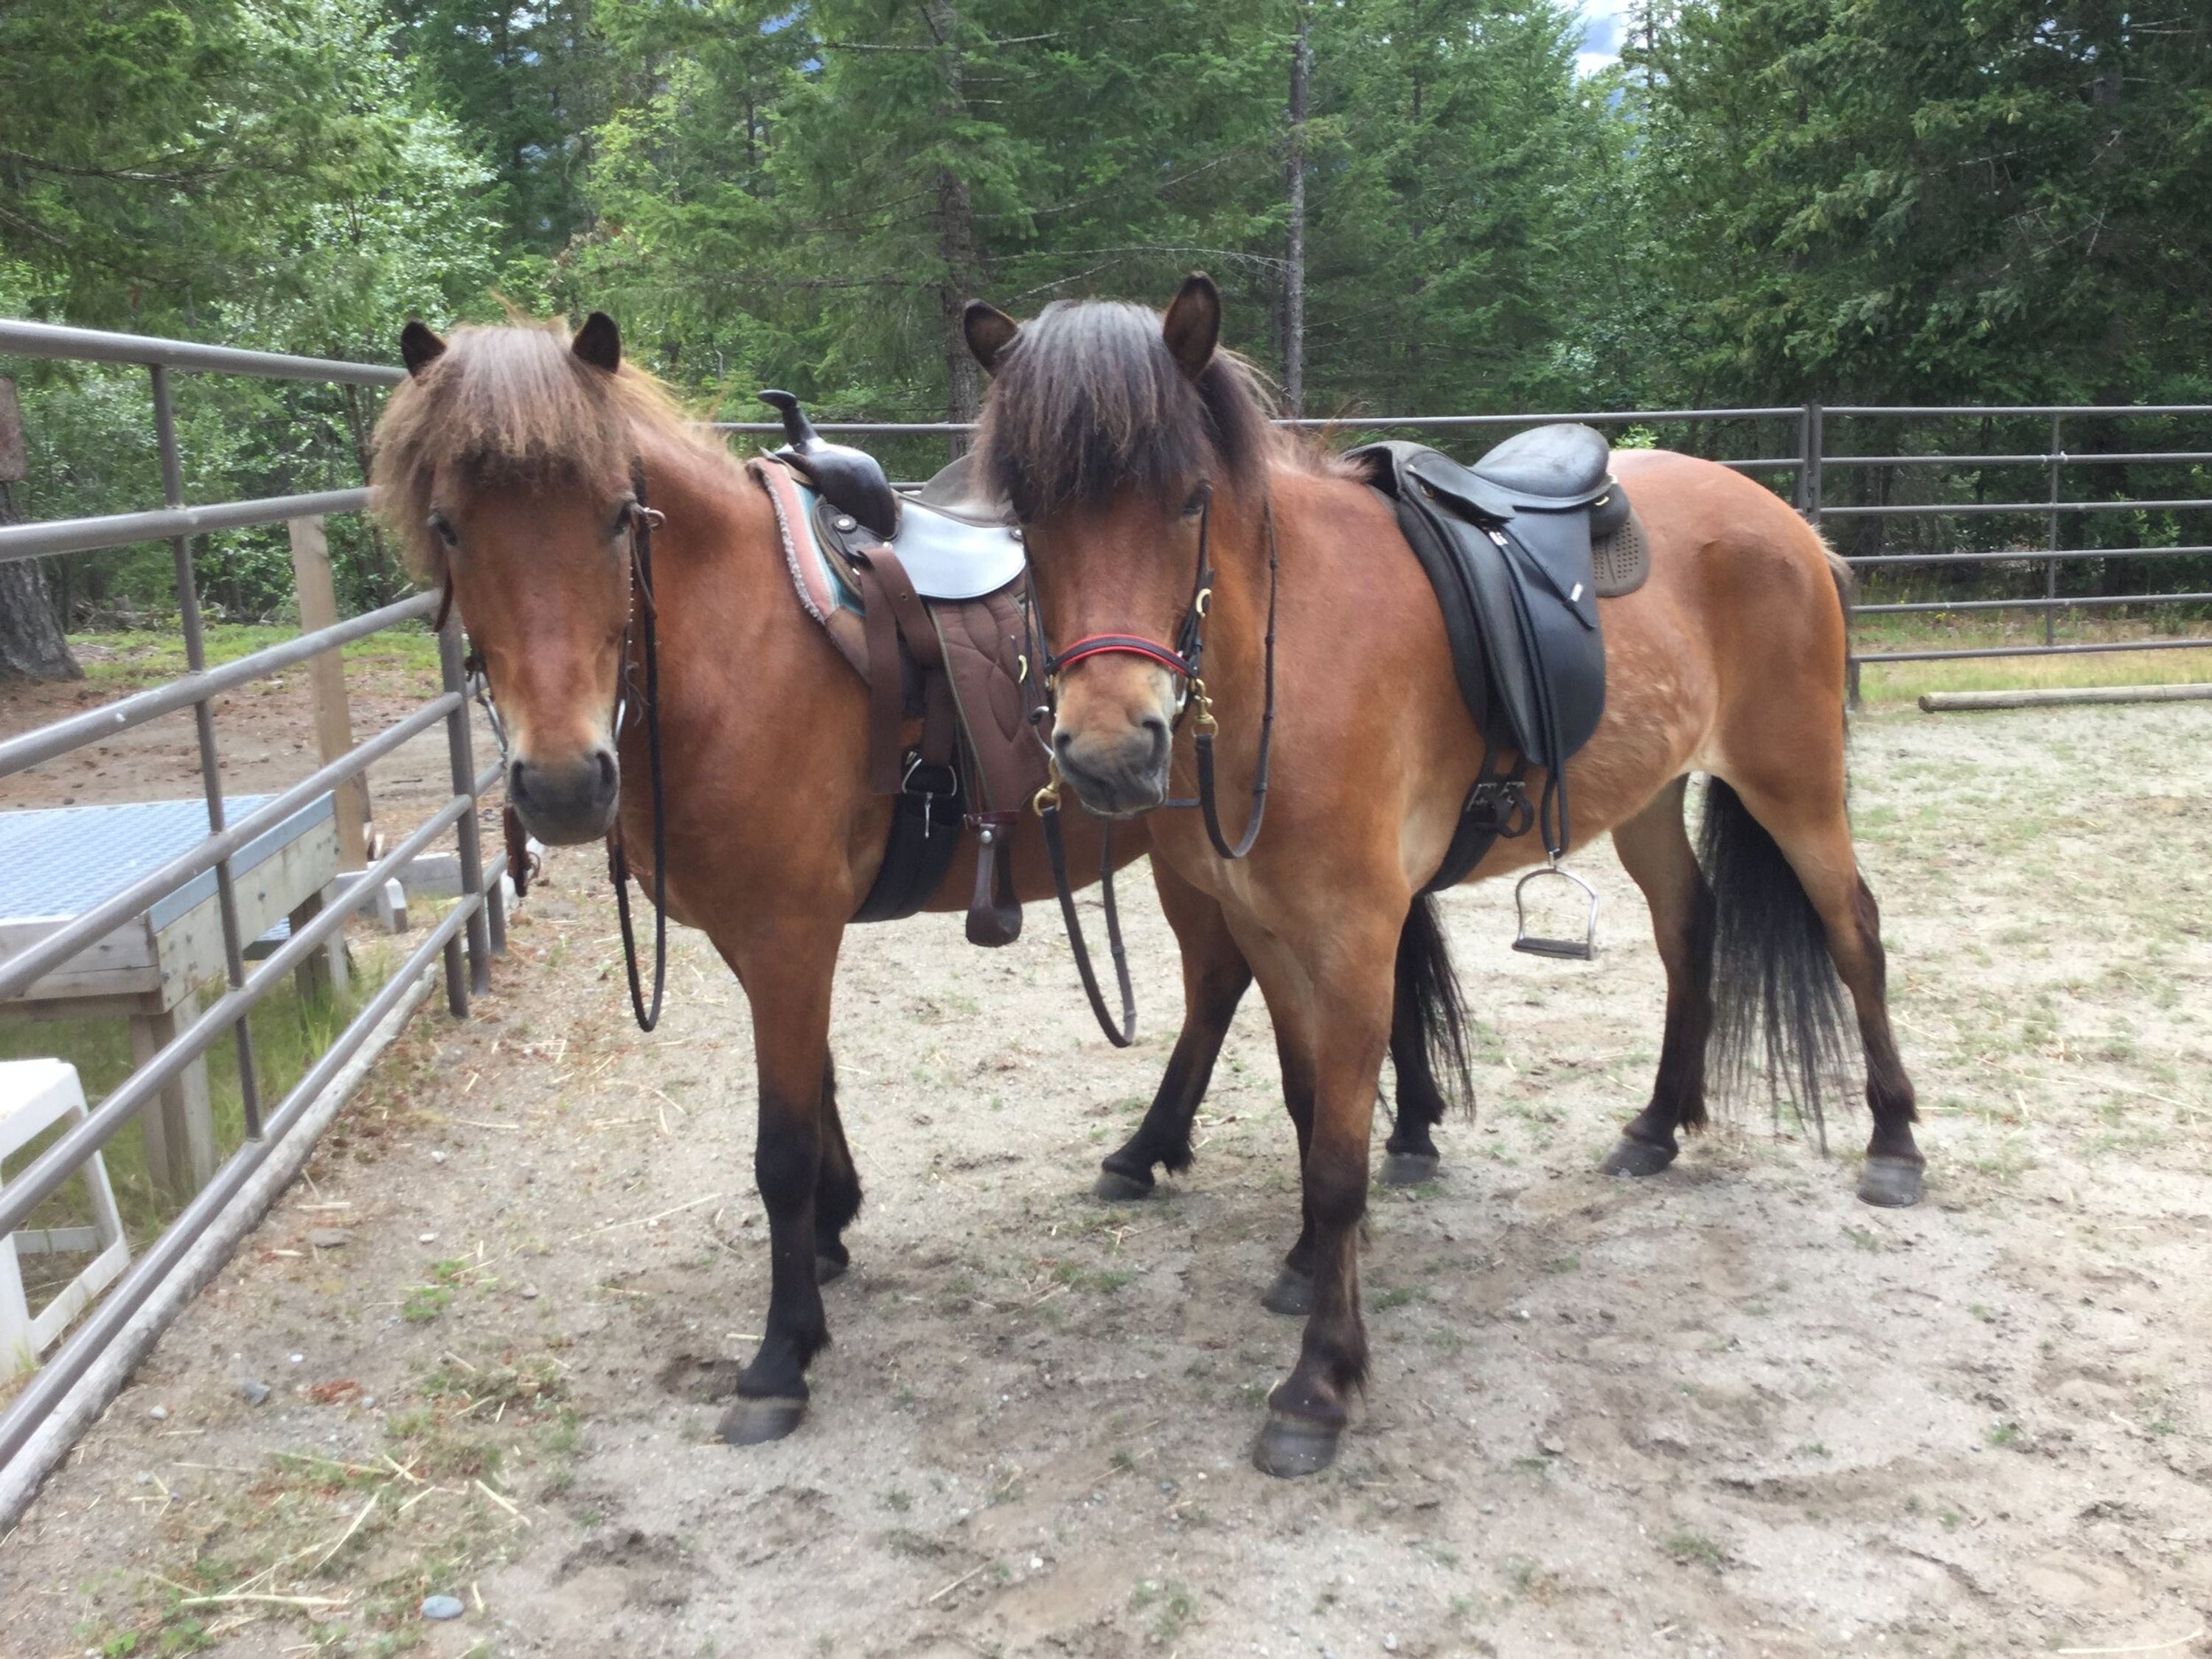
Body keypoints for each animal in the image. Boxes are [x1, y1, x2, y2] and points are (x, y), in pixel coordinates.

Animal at [367, 312, 1462, 1444]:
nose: (563, 783)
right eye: (449, 527)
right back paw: (1168, 1148)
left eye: (616, 520)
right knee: (1227, 983)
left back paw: (1389, 1132)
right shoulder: (767, 937)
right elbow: (817, 1093)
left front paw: (782, 1350)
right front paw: (832, 1232)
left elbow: (780, 1147)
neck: (736, 643)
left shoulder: (789, 931)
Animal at [959, 275, 1924, 1476]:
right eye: (1027, 519)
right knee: (1689, 931)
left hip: (1795, 784)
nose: (1106, 754)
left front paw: (1319, 1381)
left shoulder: (1356, 937)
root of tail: (1789, 523)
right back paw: (1656, 1127)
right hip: (1650, 798)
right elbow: (1305, 1107)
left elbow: (1338, 1153)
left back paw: (1894, 1143)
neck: (1284, 661)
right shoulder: (1268, 932)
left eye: (1187, 502)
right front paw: (1302, 1264)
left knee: (1855, 933)